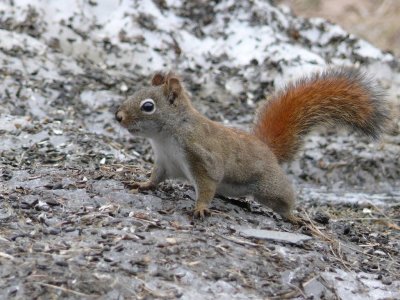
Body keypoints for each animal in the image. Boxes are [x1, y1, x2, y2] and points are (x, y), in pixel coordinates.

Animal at [115, 68, 388, 223]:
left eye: (148, 106)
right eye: (133, 93)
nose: (118, 116)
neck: (166, 136)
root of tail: (266, 149)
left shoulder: (202, 157)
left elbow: (207, 184)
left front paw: (201, 208)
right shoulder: (164, 161)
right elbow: (155, 178)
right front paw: (141, 184)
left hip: (269, 187)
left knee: (283, 200)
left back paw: (293, 217)